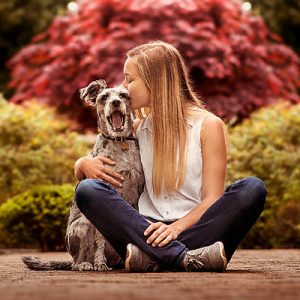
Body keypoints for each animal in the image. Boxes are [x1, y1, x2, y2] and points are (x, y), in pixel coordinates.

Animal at [21, 79, 145, 272]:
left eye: (123, 95)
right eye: (104, 97)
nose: (115, 102)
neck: (120, 142)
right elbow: (100, 239)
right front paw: (100, 263)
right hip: (84, 225)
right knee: (78, 260)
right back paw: (87, 264)